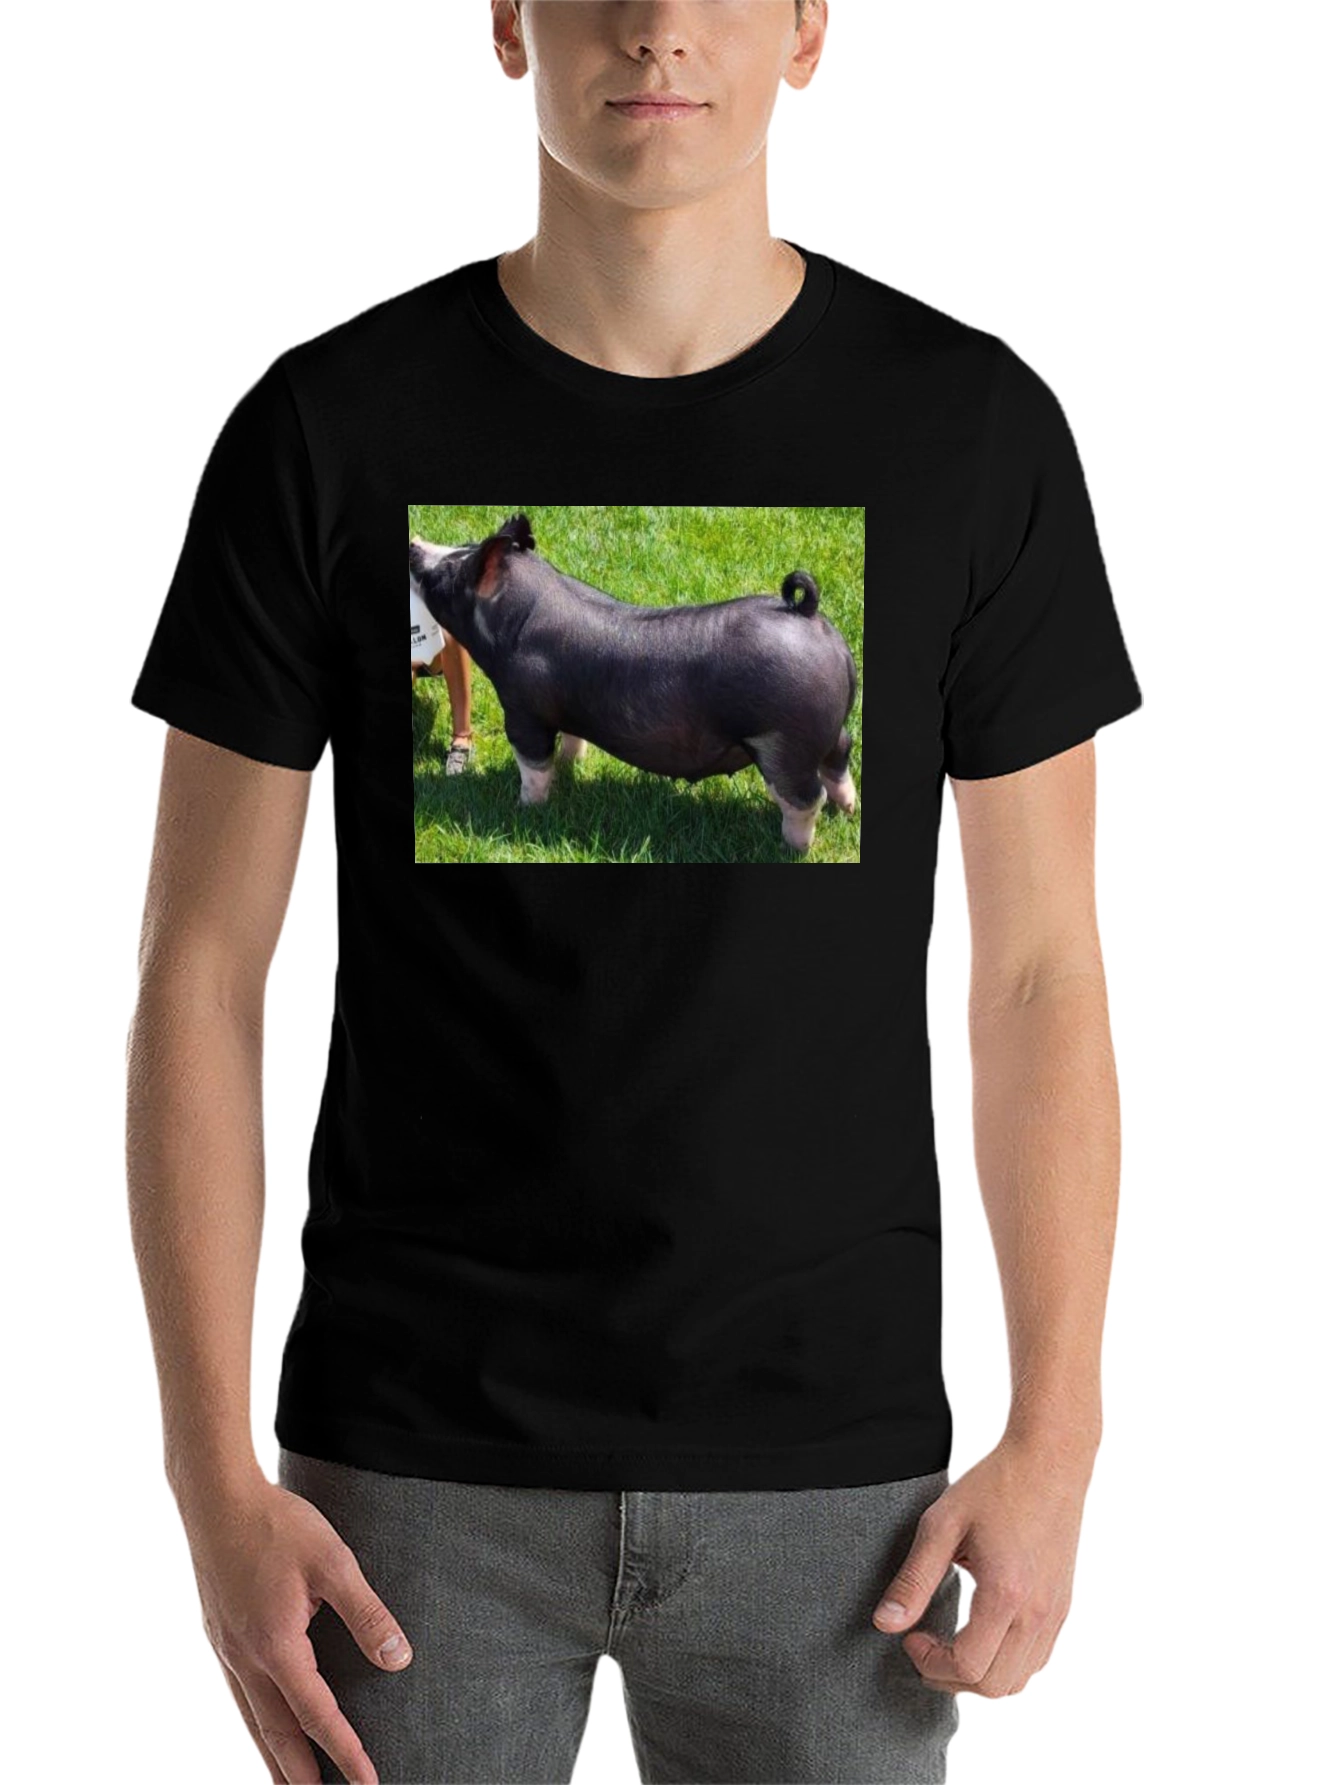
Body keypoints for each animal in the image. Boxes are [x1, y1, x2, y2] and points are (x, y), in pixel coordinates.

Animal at [409, 513, 859, 852]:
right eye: (462, 544)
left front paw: (526, 808)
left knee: (805, 796)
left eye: (447, 574)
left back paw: (794, 847)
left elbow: (533, 762)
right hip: (826, 730)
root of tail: (807, 615)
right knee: (841, 757)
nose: (414, 545)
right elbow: (572, 740)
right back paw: (849, 810)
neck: (516, 619)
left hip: (785, 741)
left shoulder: (523, 709)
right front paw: (573, 766)